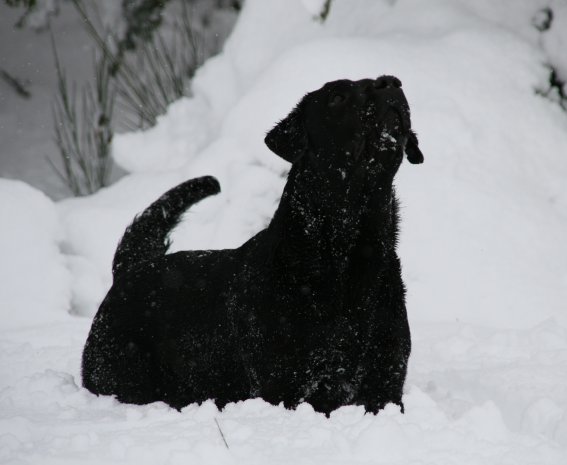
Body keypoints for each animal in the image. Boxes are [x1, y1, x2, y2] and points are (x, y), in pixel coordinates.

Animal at [82, 75, 424, 415]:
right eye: (337, 97)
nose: (389, 82)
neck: (349, 254)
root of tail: (127, 272)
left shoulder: (385, 382)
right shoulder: (285, 387)